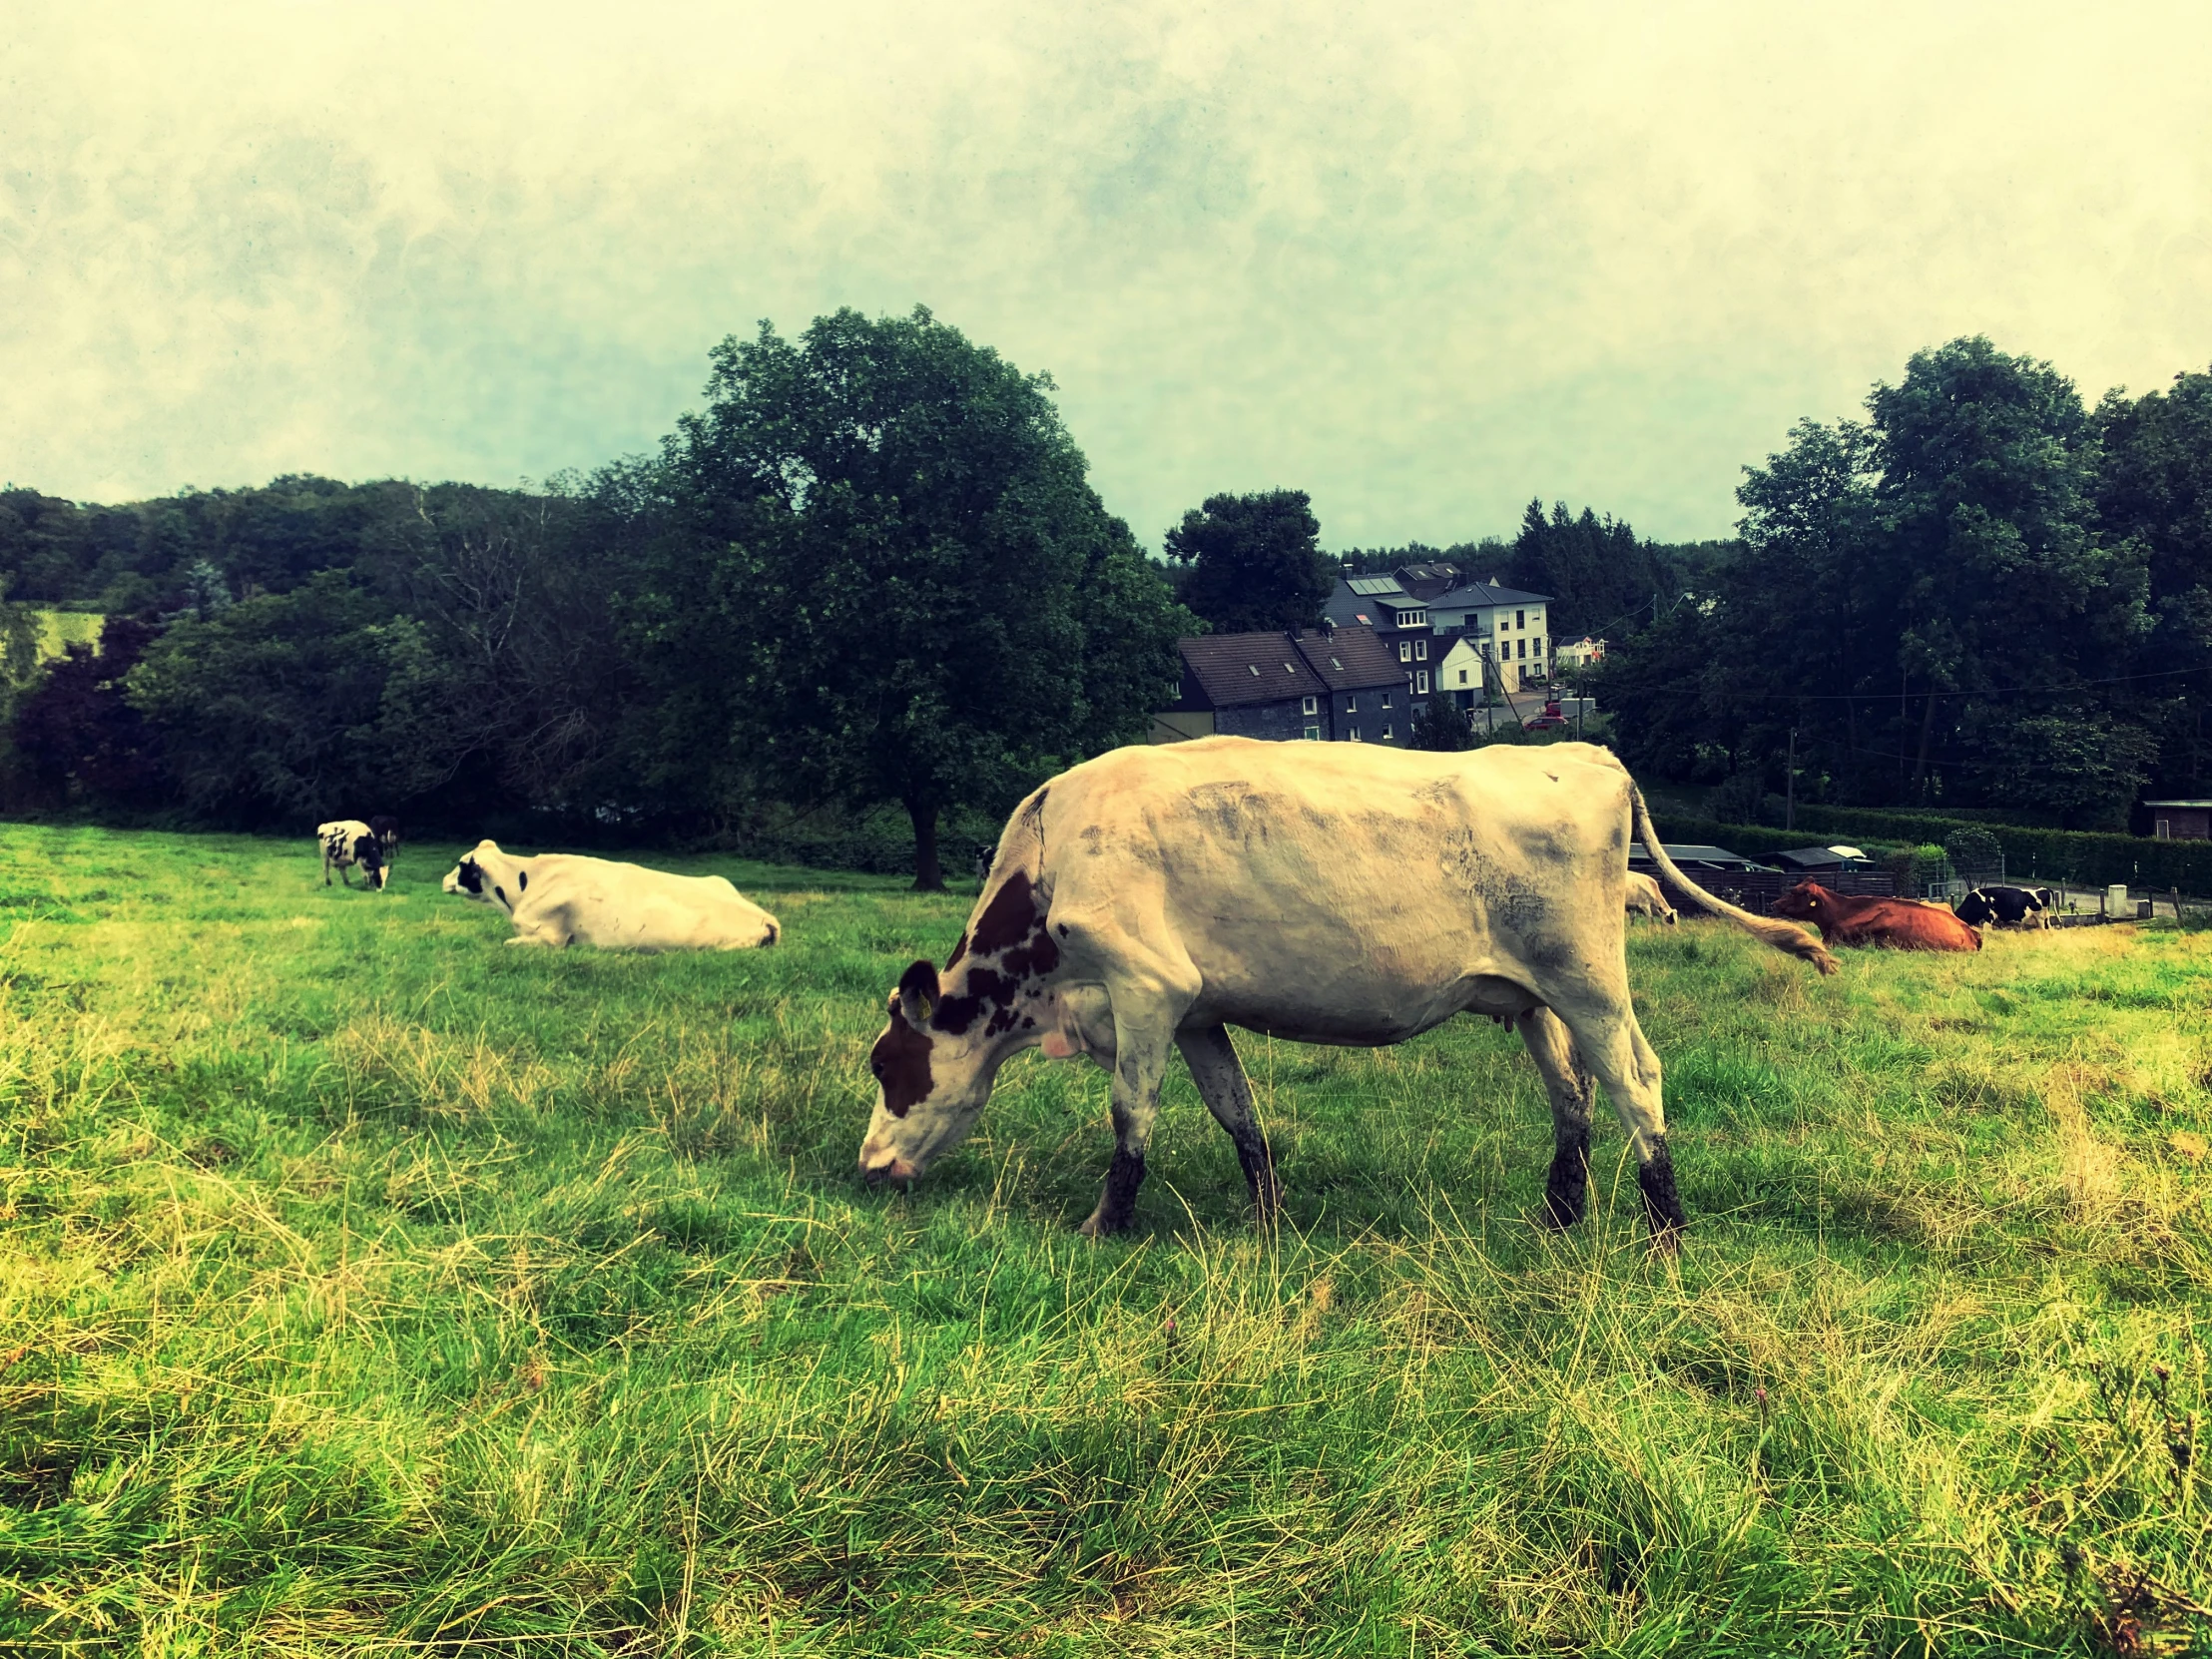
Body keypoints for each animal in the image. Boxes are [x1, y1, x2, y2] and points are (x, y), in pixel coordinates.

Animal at [848, 739, 1831, 1247]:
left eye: (887, 1064)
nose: (868, 1166)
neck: (1056, 854)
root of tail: (1576, 752)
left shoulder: (1144, 986)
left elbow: (1130, 1116)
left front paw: (1104, 1223)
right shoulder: (1198, 1009)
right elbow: (1237, 1115)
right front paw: (1269, 1219)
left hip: (1588, 982)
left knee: (1636, 1082)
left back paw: (1666, 1231)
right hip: (1532, 1000)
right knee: (1573, 1097)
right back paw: (1557, 1219)